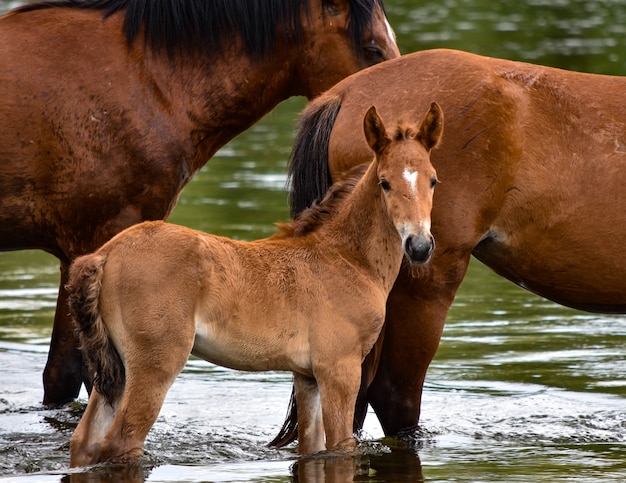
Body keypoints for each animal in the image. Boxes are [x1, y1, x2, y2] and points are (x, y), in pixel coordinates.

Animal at [66, 103, 442, 468]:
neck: (347, 258)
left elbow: (312, 448)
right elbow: (341, 448)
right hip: (154, 365)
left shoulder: (307, 377)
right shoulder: (340, 369)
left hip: (115, 369)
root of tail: (105, 254)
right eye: (384, 182)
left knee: (84, 441)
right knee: (121, 443)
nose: (419, 246)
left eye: (433, 180)